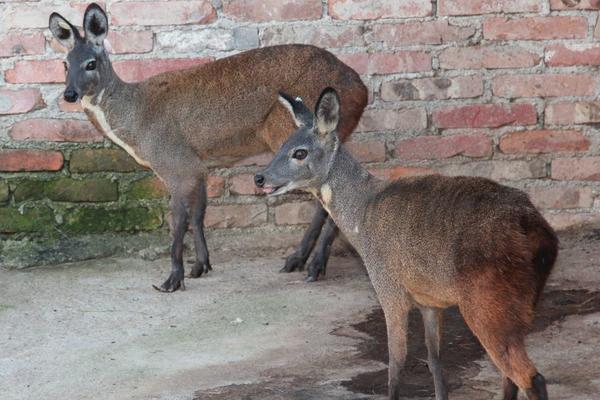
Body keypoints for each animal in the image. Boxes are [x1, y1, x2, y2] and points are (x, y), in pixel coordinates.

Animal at [48, 2, 366, 290]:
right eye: (64, 64)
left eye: (90, 63)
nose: (69, 94)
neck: (137, 122)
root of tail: (361, 90)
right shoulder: (198, 165)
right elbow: (199, 214)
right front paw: (201, 265)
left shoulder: (176, 165)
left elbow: (178, 221)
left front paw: (172, 280)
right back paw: (300, 261)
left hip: (291, 135)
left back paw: (312, 265)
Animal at [255, 87, 560, 400]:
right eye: (281, 145)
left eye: (299, 152)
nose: (259, 177)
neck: (361, 217)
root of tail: (538, 232)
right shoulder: (429, 301)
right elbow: (434, 360)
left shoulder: (389, 288)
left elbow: (396, 362)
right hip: (523, 303)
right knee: (509, 375)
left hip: (488, 301)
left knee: (529, 376)